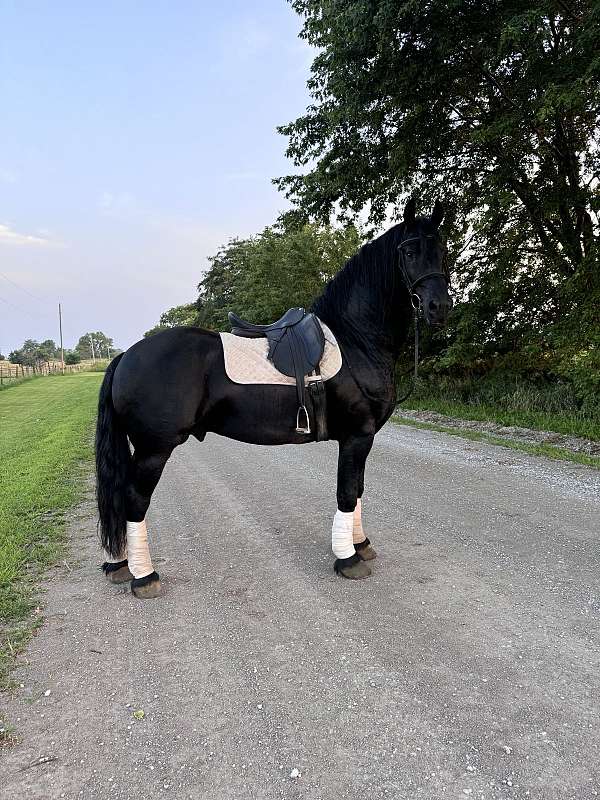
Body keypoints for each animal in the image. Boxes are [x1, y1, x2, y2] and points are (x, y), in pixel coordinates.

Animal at [96, 197, 450, 596]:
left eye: (441, 250)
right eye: (409, 251)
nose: (439, 307)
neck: (354, 339)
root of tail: (126, 355)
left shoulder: (361, 438)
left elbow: (357, 489)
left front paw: (361, 545)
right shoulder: (357, 436)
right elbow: (346, 492)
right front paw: (347, 558)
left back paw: (119, 565)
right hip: (154, 449)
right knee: (134, 500)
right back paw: (145, 576)